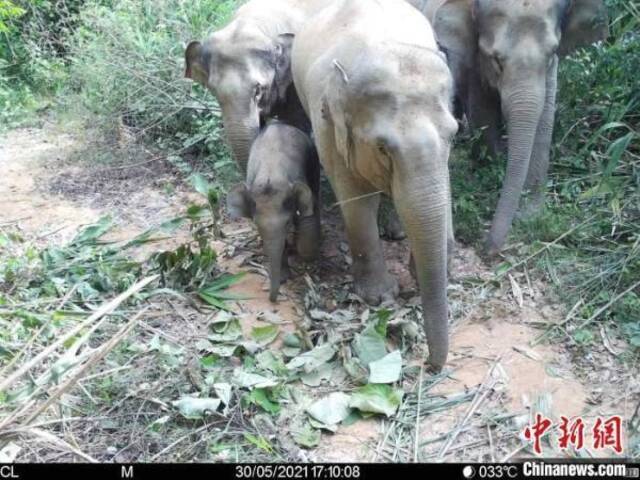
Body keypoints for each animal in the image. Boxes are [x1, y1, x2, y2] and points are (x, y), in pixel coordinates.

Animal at [262, 0, 458, 372]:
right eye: (382, 148)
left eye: (453, 134)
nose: (431, 365)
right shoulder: (329, 125)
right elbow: (357, 200)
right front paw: (379, 297)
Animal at [416, 0, 608, 255]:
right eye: (496, 59)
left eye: (551, 54)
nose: (486, 250)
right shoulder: (472, 57)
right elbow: (484, 112)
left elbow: (544, 119)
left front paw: (530, 214)